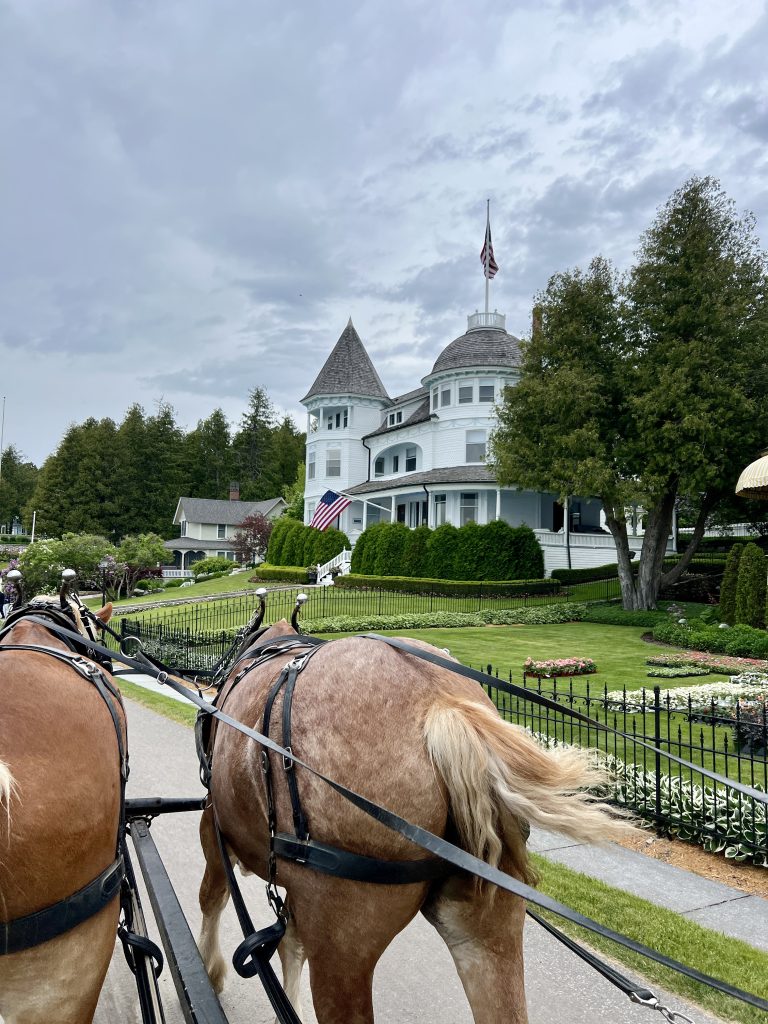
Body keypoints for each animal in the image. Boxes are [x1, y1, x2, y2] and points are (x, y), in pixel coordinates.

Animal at [199, 618, 638, 1019]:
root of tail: (442, 705)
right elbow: (290, 942)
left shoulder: (213, 820)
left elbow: (213, 896)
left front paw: (209, 971)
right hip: (487, 922)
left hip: (343, 936)